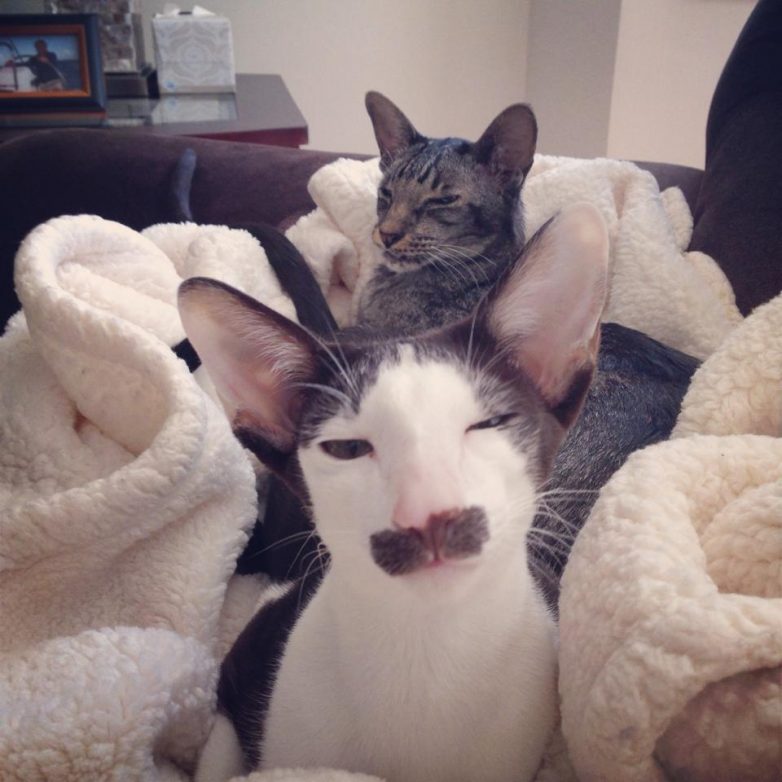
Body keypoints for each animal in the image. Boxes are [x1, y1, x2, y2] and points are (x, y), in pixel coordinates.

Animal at [181, 202, 609, 782]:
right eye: (347, 448)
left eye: (489, 424)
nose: (429, 514)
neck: (425, 650)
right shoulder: (252, 659)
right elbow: (221, 749)